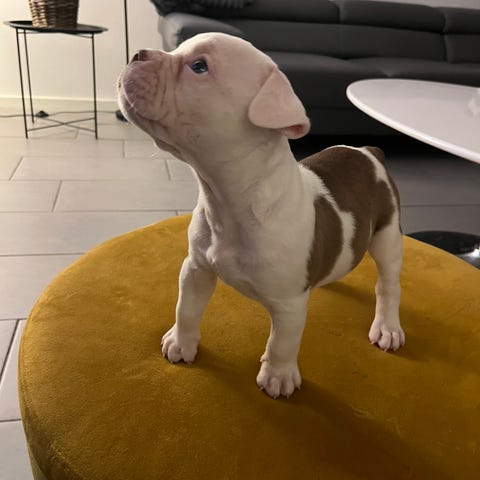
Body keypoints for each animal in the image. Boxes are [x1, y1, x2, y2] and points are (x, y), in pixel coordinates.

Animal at [118, 32, 405, 399]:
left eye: (199, 67)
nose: (138, 54)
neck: (229, 199)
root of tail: (370, 152)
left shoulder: (289, 306)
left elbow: (282, 342)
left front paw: (278, 377)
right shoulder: (196, 268)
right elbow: (187, 308)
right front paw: (181, 343)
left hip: (387, 236)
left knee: (388, 284)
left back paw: (387, 327)